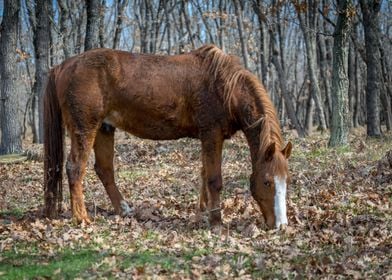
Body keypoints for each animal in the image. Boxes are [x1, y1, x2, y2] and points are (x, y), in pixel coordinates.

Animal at [44, 45, 292, 230]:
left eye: (285, 180)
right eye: (267, 181)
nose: (281, 225)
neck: (225, 88)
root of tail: (62, 66)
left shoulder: (207, 139)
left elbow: (204, 174)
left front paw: (202, 213)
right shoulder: (212, 135)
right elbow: (214, 179)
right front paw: (216, 222)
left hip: (105, 128)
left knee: (104, 170)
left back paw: (124, 210)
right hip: (85, 128)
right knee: (75, 167)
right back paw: (81, 218)